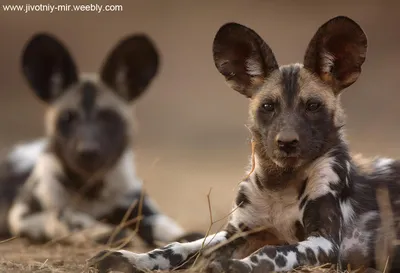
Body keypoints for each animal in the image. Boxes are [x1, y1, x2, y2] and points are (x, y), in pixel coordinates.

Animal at [0, 33, 205, 245]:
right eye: (67, 118)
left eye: (108, 117)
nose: (88, 151)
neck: (91, 191)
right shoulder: (22, 216)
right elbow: (62, 216)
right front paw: (103, 232)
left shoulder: (139, 206)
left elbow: (160, 223)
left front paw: (182, 237)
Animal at [89, 15, 400, 272]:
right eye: (268, 106)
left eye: (312, 106)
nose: (287, 143)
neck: (280, 184)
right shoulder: (236, 232)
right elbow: (178, 247)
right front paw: (129, 258)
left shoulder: (325, 242)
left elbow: (274, 252)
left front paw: (239, 265)